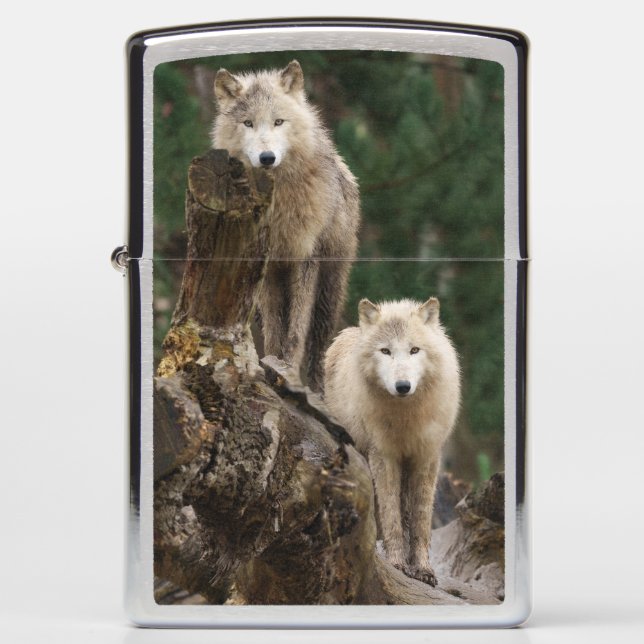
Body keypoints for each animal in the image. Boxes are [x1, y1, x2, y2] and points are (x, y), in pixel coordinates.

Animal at [212, 60, 360, 390]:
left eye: (279, 122)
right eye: (248, 124)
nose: (267, 157)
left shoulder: (306, 259)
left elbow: (296, 332)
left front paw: (288, 371)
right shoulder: (268, 267)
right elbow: (274, 330)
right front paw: (272, 370)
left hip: (329, 289)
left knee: (319, 343)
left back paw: (319, 391)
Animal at [323, 297, 461, 585]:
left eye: (414, 350)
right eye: (385, 351)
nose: (402, 386)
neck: (406, 418)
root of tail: (349, 331)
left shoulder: (426, 457)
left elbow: (421, 520)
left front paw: (423, 569)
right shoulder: (384, 455)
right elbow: (390, 515)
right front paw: (397, 563)